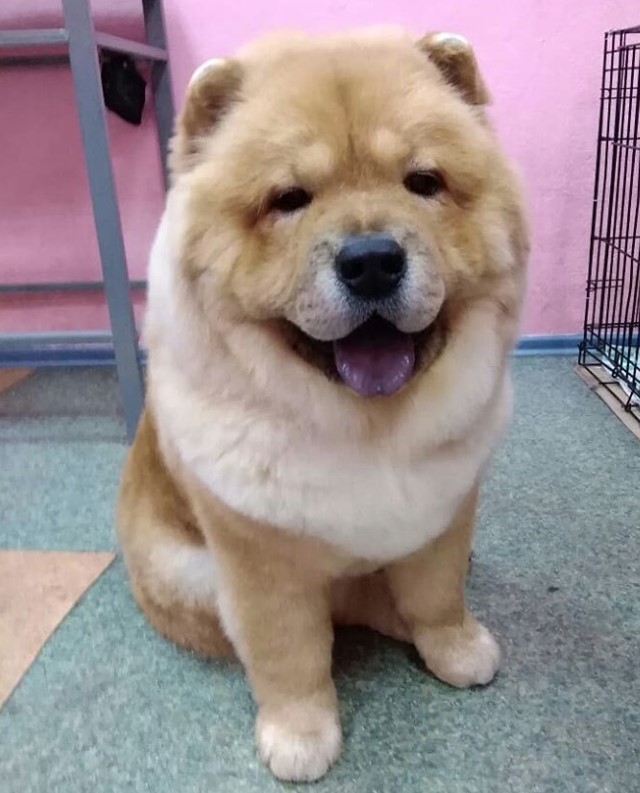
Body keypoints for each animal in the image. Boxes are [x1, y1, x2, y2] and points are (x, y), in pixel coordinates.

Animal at [117, 27, 528, 784]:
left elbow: (437, 594)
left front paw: (455, 649)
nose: (372, 261)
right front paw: (302, 737)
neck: (369, 427)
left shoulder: (445, 514)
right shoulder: (259, 562)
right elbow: (290, 655)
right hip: (188, 571)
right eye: (289, 198)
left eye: (423, 183)